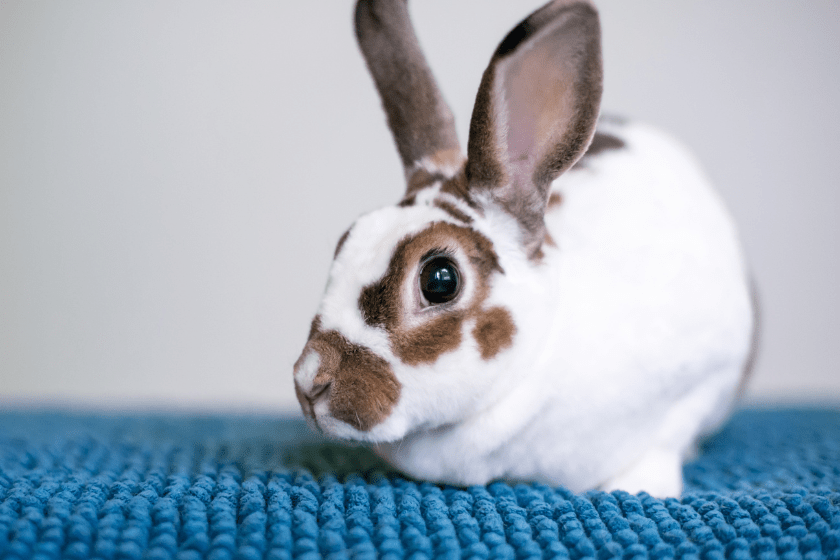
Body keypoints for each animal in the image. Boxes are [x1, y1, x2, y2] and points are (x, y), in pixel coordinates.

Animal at [294, 0, 756, 498]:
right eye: (345, 240)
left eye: (440, 280)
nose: (308, 381)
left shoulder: (707, 371)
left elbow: (666, 437)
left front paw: (640, 486)